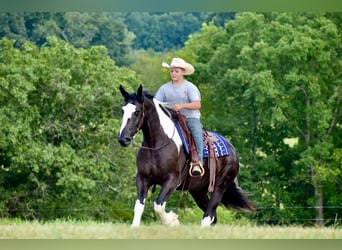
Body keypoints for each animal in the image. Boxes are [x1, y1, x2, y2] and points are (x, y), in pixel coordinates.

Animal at [117, 84, 254, 227]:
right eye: (122, 111)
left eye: (137, 111)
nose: (123, 139)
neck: (157, 145)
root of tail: (233, 150)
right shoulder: (142, 178)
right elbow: (139, 206)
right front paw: (135, 227)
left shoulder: (172, 180)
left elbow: (158, 205)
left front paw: (172, 221)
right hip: (198, 191)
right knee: (213, 217)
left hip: (220, 186)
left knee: (209, 214)